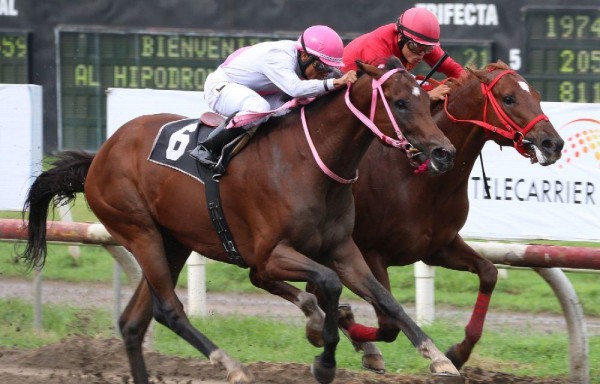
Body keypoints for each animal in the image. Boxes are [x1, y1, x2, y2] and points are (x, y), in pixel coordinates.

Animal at [19, 57, 460, 384]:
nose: (444, 153)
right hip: (140, 232)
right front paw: (324, 360)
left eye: (426, 101)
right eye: (400, 103)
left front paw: (438, 357)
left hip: (172, 241)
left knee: (133, 322)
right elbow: (328, 286)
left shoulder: (342, 249)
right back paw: (232, 366)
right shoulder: (269, 255)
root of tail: (100, 156)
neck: (309, 161)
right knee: (168, 310)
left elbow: (385, 298)